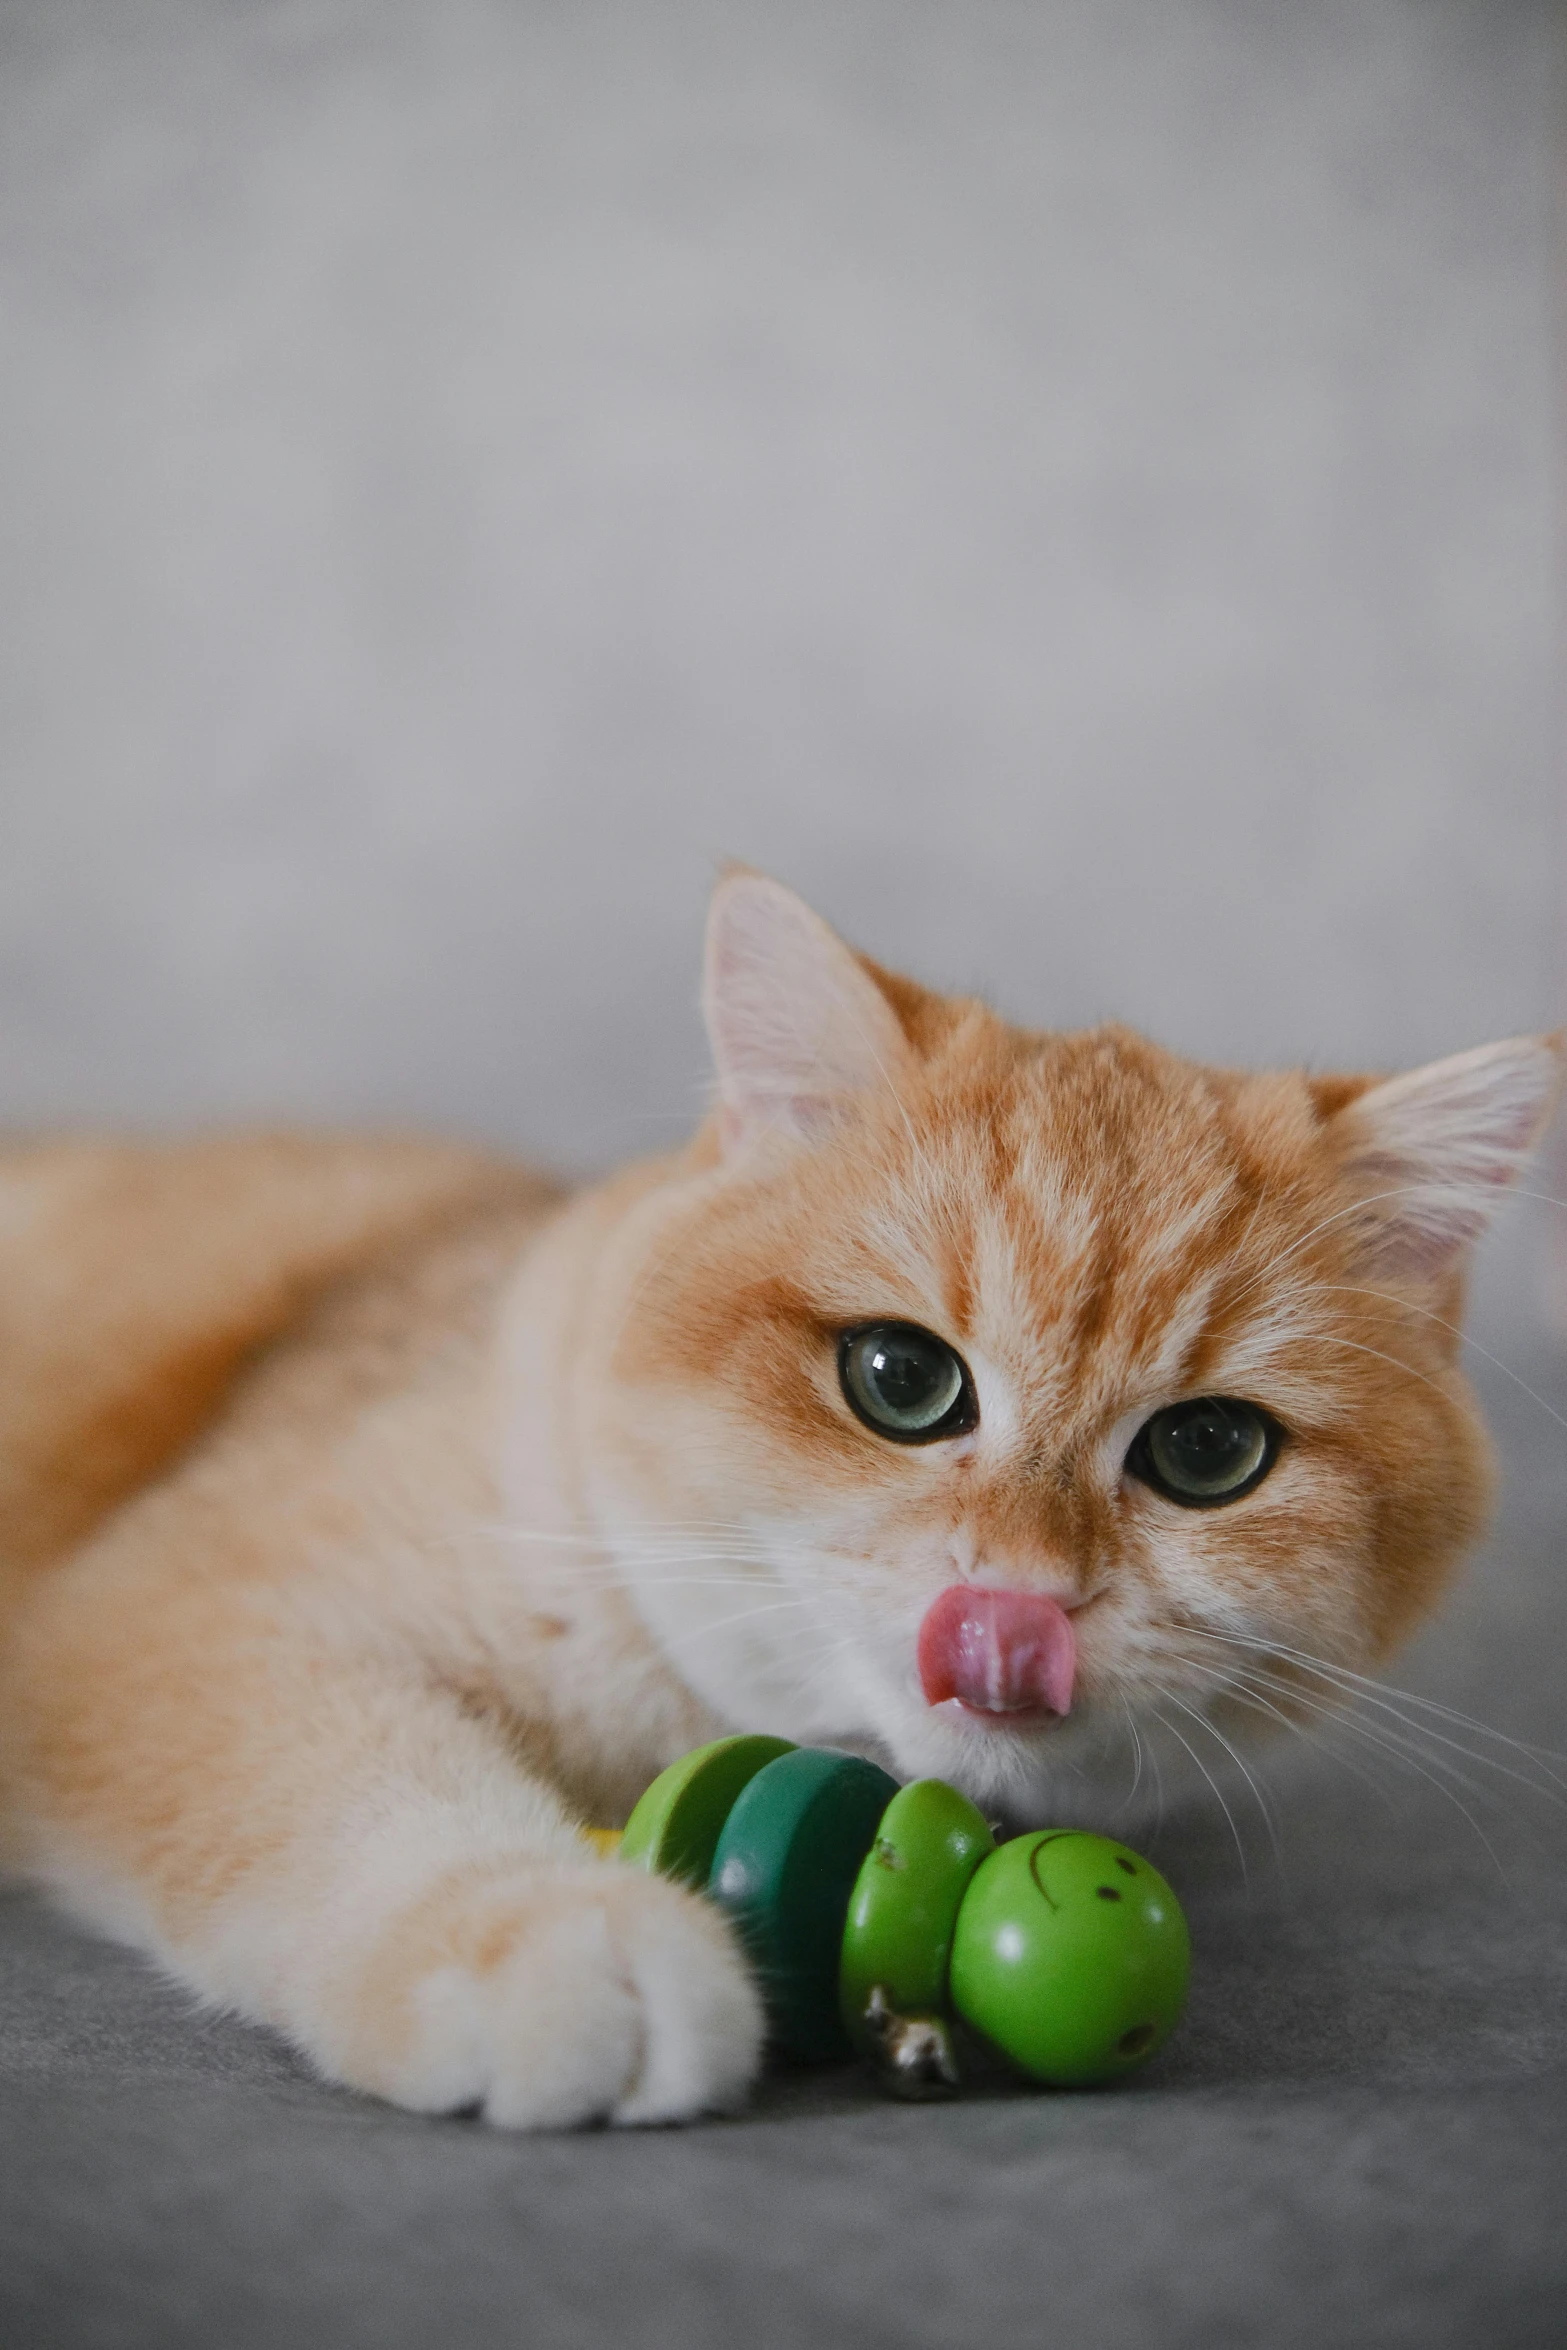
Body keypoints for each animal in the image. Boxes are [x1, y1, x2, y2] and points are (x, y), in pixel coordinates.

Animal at [0, 869, 1559, 2133]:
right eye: (900, 1379)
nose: (1017, 1603)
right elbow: (353, 1772)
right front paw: (555, 1930)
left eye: (1208, 1451)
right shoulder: (169, 1611)